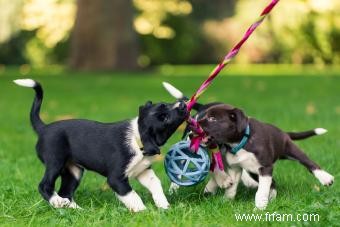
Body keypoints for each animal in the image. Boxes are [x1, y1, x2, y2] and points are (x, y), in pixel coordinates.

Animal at [14, 79, 187, 212]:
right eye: (164, 119)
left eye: (165, 105)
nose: (183, 105)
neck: (137, 138)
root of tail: (44, 128)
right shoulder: (116, 178)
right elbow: (132, 195)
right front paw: (142, 212)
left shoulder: (143, 170)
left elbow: (156, 185)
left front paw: (164, 206)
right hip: (55, 161)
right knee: (44, 185)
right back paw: (56, 202)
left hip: (74, 171)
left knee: (66, 192)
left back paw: (75, 210)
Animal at [198, 103, 334, 210]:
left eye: (212, 118)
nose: (195, 123)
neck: (240, 142)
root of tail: (283, 132)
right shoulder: (235, 168)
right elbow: (232, 188)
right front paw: (227, 201)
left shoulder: (265, 168)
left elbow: (261, 191)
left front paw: (259, 209)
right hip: (253, 171)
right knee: (273, 183)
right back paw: (271, 198)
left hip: (289, 149)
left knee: (308, 162)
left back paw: (326, 178)